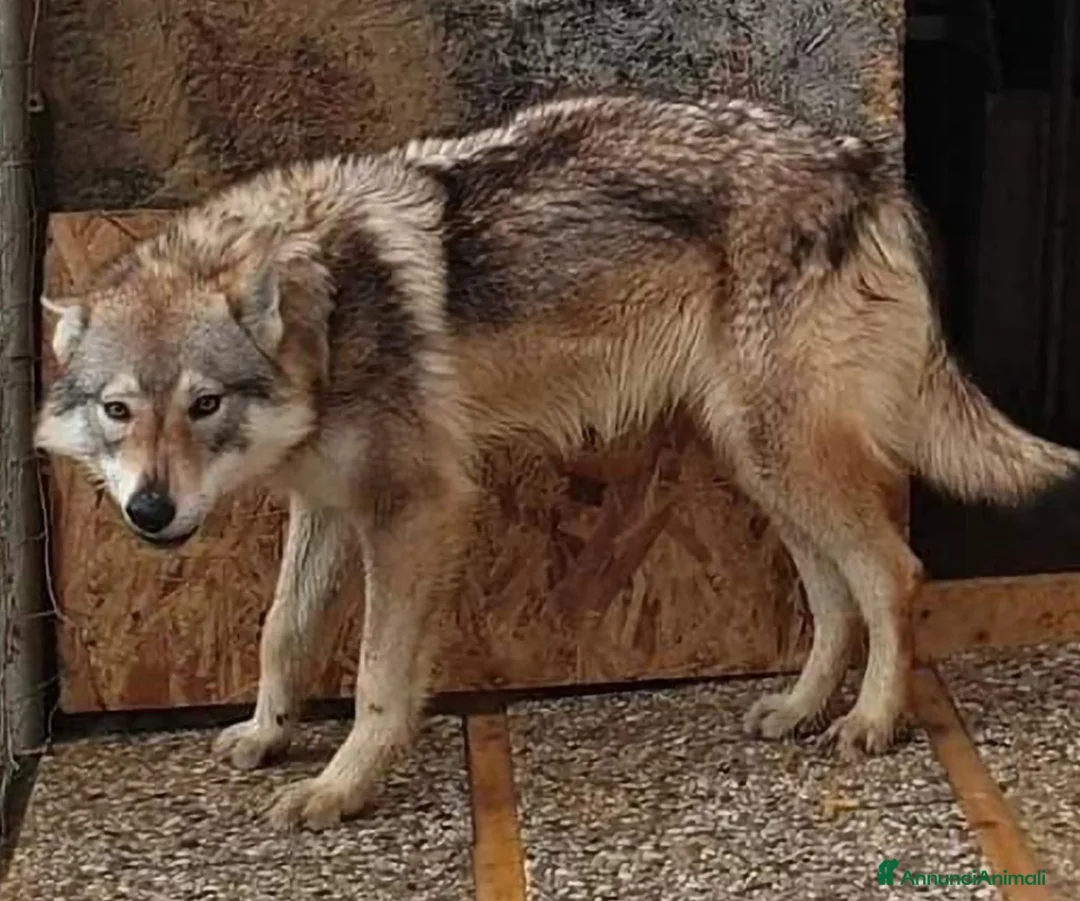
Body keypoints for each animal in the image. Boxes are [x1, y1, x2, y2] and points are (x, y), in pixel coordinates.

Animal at [35, 93, 1080, 830]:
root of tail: (865, 163)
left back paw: (873, 721)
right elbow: (278, 632)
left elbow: (376, 676)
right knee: (836, 596)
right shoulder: (328, 506)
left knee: (894, 572)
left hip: (785, 454)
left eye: (203, 404)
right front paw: (266, 734)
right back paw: (800, 708)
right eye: (118, 411)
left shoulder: (415, 509)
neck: (327, 309)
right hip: (760, 459)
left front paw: (340, 789)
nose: (148, 512)